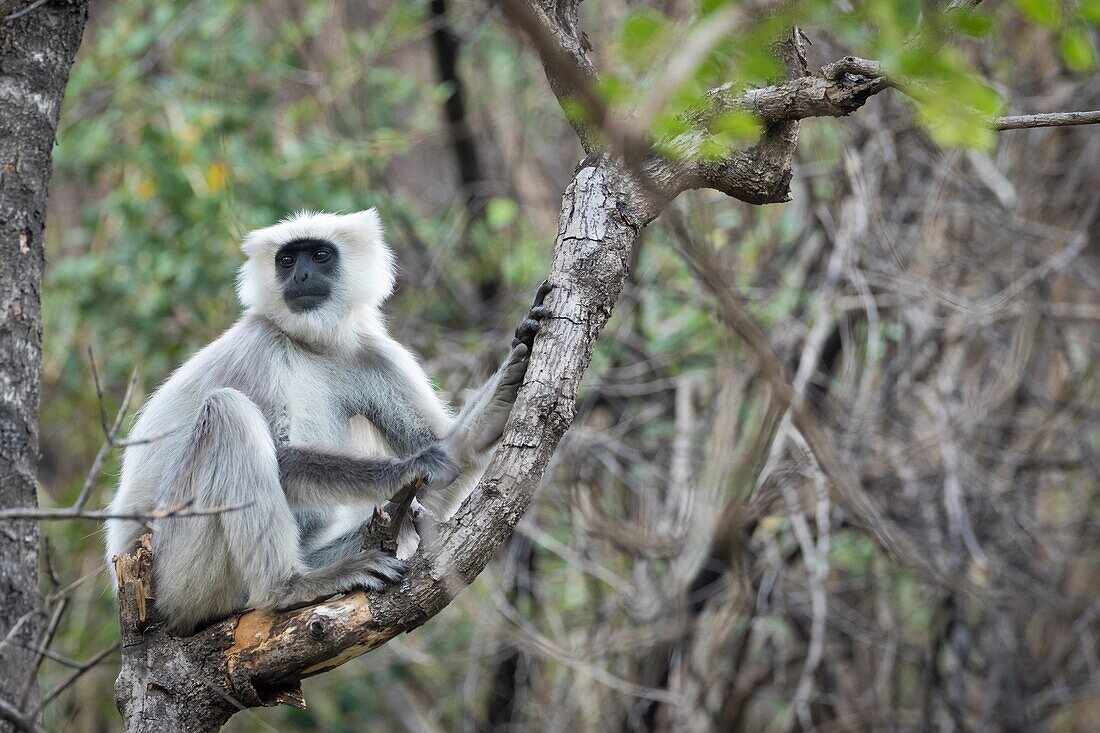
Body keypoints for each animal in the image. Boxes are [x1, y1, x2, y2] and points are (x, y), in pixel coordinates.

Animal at [103, 208, 550, 629]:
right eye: (287, 260)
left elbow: (447, 466)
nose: (300, 275)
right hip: (179, 571)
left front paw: (510, 380)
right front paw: (407, 467)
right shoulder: (258, 346)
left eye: (319, 255)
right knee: (228, 411)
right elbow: (284, 459)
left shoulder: (372, 353)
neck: (309, 344)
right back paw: (289, 587)